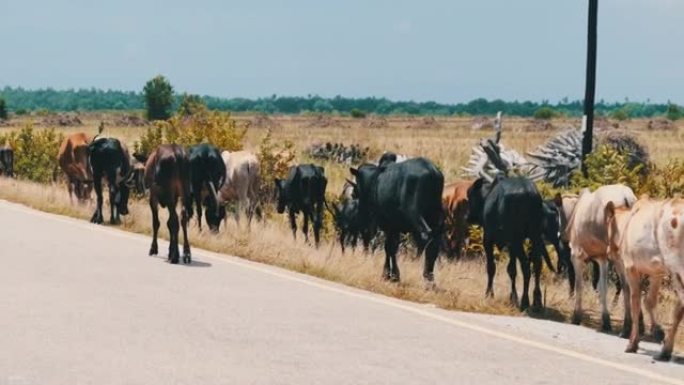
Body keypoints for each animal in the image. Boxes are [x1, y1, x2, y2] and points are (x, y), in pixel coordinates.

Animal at [468, 176, 548, 310]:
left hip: (517, 240)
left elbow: (491, 267)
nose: (468, 217)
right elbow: (511, 270)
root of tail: (529, 192)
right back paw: (537, 301)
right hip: (535, 236)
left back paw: (525, 301)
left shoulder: (488, 239)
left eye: (470, 196)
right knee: (537, 264)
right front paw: (513, 297)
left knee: (526, 266)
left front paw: (489, 294)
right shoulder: (511, 246)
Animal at [608, 198, 684, 360]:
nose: (609, 251)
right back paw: (666, 349)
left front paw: (632, 343)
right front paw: (658, 331)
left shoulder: (631, 268)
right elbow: (649, 301)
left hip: (676, 268)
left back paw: (665, 350)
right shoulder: (656, 272)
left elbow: (635, 302)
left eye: (608, 223)